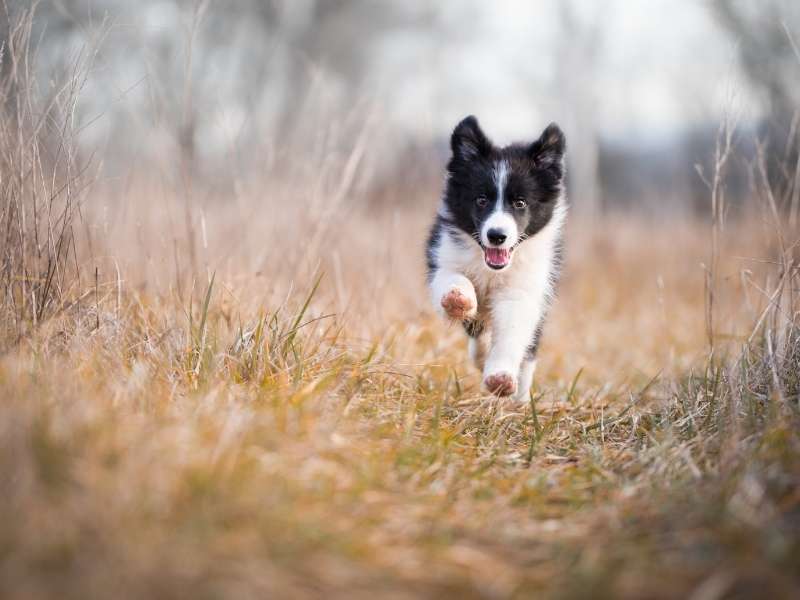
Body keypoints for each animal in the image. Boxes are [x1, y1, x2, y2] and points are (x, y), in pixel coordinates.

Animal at [428, 115, 564, 400]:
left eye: (520, 202)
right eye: (481, 200)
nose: (497, 236)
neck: (491, 269)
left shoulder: (525, 288)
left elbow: (513, 329)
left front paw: (501, 376)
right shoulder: (444, 253)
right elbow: (451, 277)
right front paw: (457, 298)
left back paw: (520, 396)